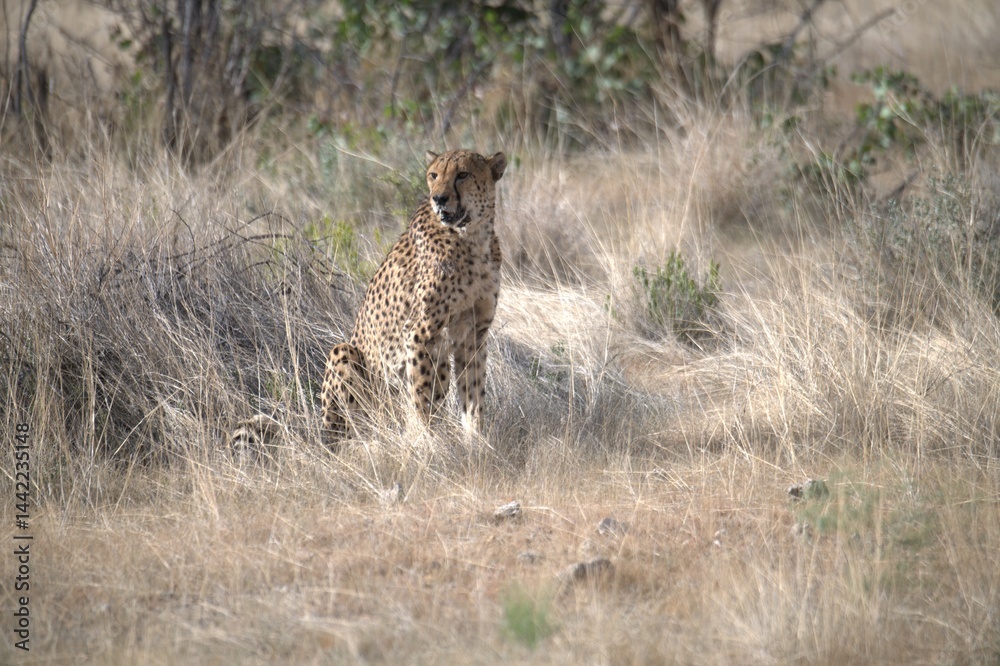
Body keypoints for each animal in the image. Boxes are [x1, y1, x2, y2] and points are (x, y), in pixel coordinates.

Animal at [321, 148, 508, 439]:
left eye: (463, 174)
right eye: (434, 175)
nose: (439, 198)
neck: (472, 237)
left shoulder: (473, 332)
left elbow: (473, 391)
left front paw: (475, 439)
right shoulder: (420, 332)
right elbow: (420, 397)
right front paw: (425, 441)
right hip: (345, 354)